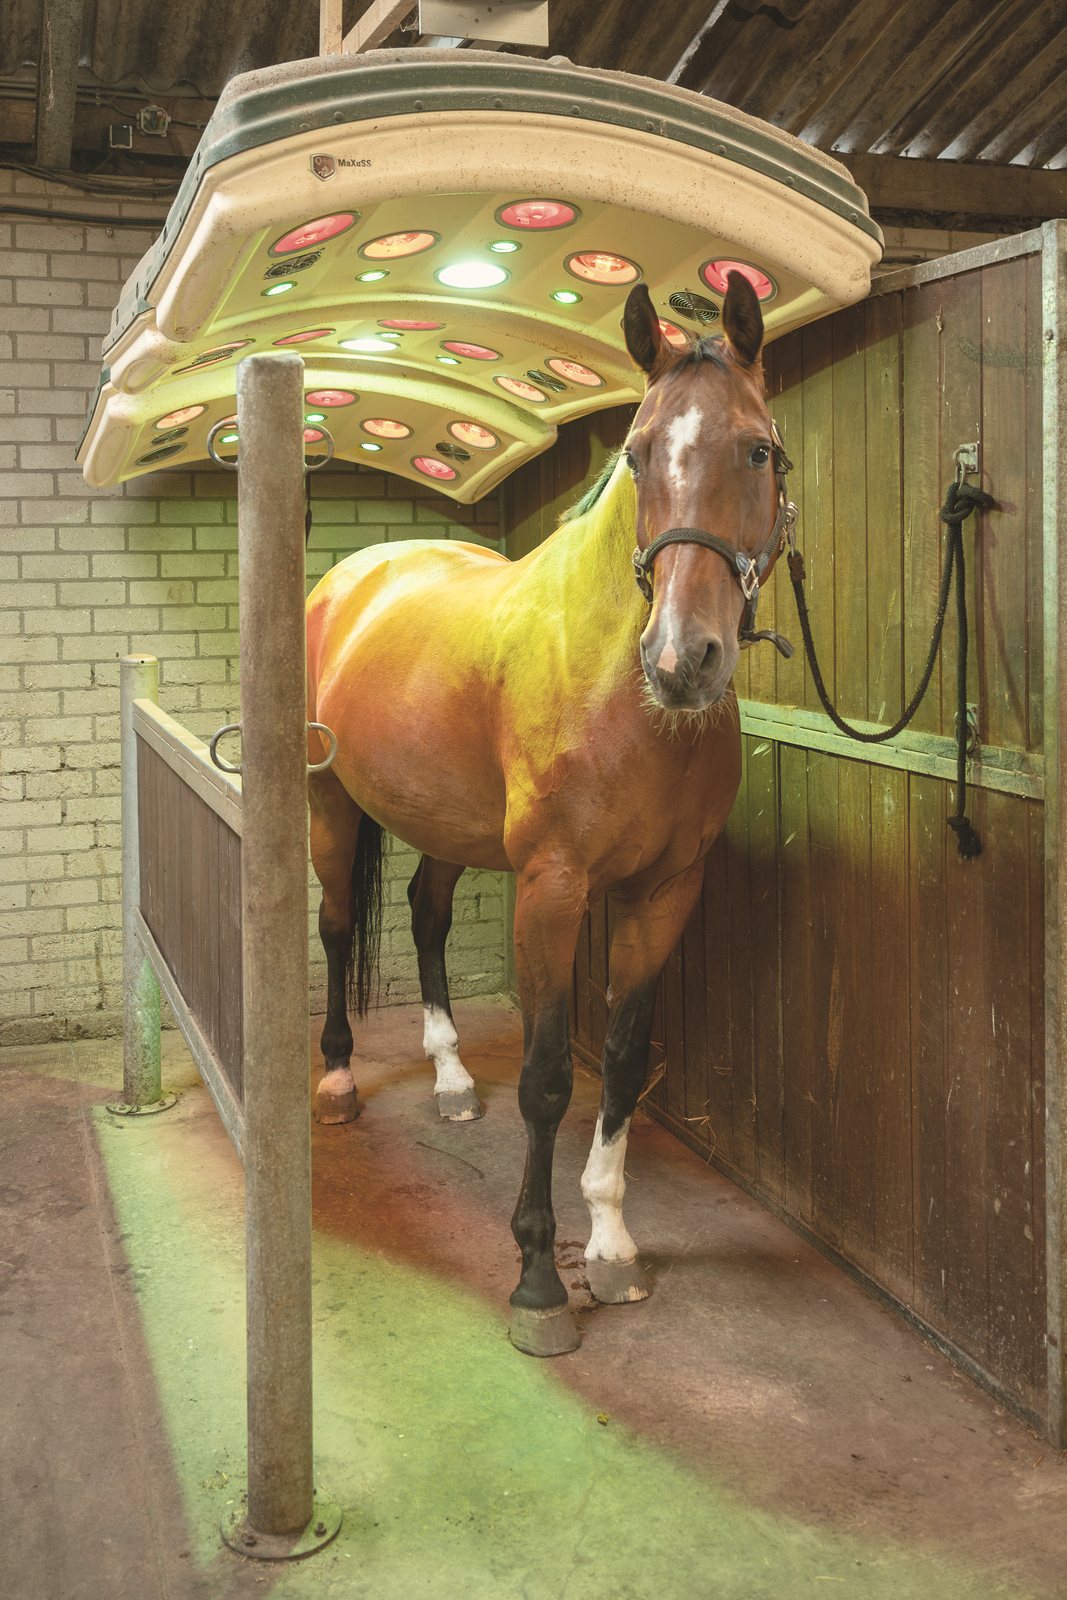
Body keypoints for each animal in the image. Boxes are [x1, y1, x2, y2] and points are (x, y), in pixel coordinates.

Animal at [305, 271, 792, 1356]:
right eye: (638, 453)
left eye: (756, 449)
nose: (682, 659)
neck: (621, 690)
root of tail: (354, 576)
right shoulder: (552, 888)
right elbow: (543, 1076)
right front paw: (536, 1276)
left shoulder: (661, 893)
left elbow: (620, 1059)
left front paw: (609, 1247)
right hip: (325, 803)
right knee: (337, 923)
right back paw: (339, 1082)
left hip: (445, 825)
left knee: (425, 911)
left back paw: (448, 1079)